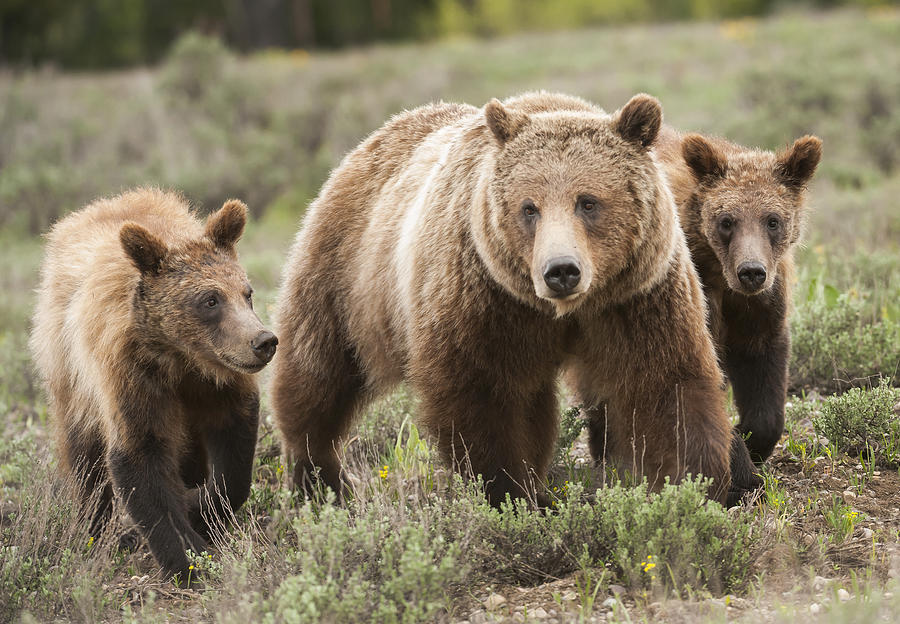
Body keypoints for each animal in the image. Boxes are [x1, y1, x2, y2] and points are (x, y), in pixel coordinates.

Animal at [30, 188, 278, 584]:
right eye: (210, 299)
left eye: (247, 292)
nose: (263, 341)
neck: (179, 356)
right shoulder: (129, 375)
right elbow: (140, 457)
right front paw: (189, 556)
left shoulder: (217, 383)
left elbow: (234, 458)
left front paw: (200, 509)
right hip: (70, 375)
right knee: (84, 456)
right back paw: (96, 532)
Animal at [272, 92, 752, 508]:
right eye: (529, 207)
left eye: (588, 202)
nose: (561, 270)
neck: (563, 312)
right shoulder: (486, 299)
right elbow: (485, 397)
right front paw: (510, 491)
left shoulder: (637, 298)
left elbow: (665, 385)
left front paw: (702, 486)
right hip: (346, 275)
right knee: (319, 371)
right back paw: (320, 479)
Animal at [652, 128, 824, 464]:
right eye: (727, 221)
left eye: (772, 220)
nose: (752, 271)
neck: (722, 274)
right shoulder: (699, 295)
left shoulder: (761, 304)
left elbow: (763, 359)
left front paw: (750, 438)